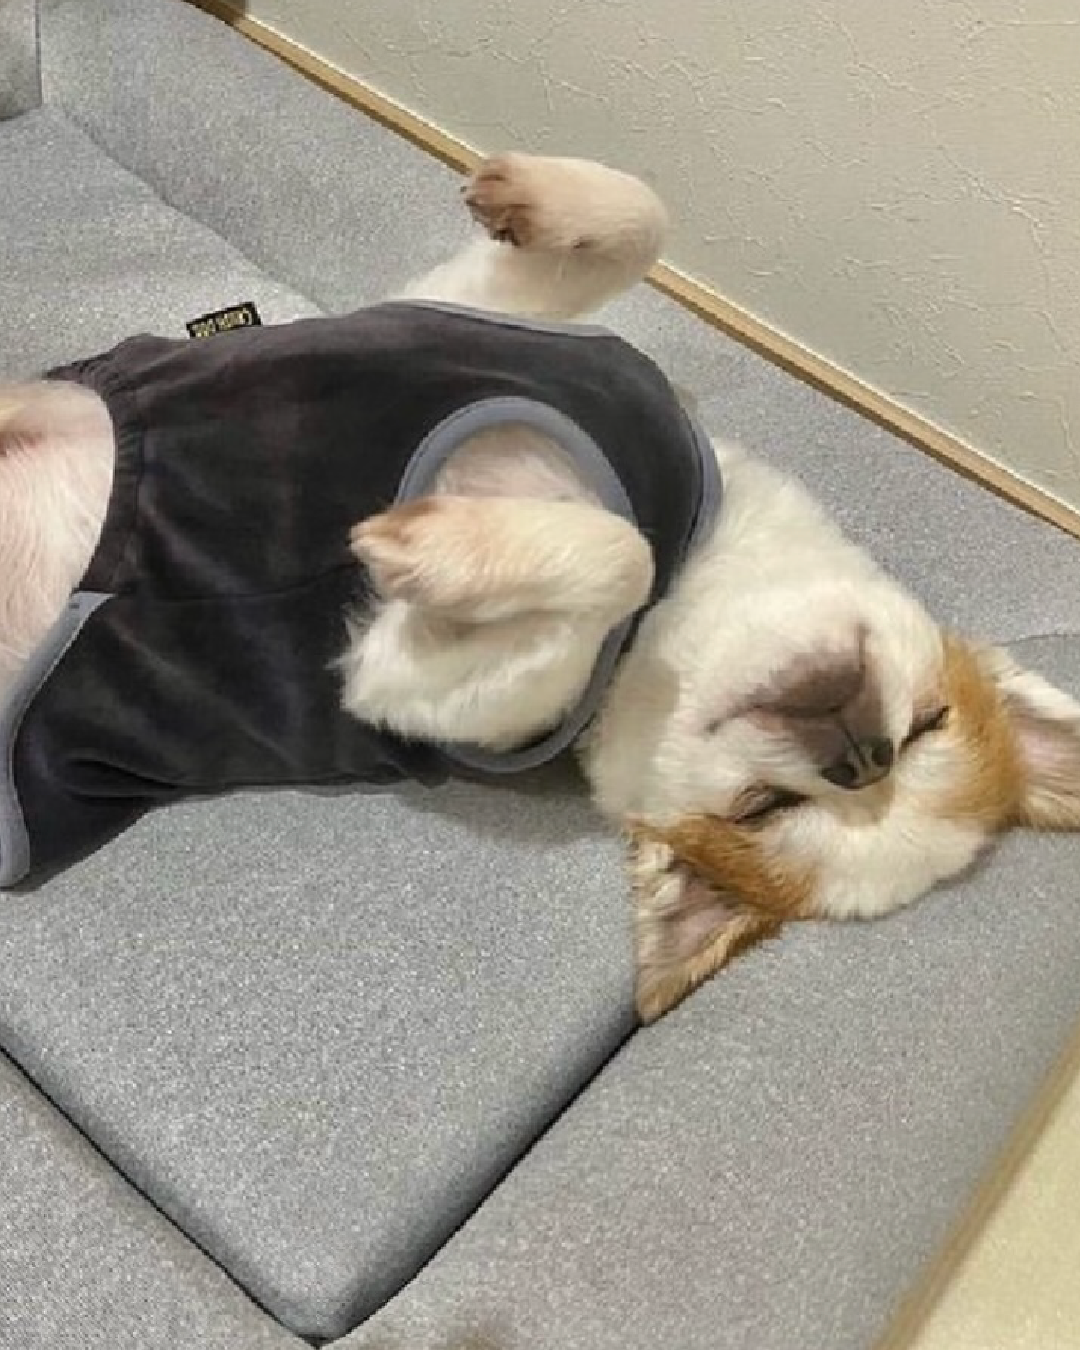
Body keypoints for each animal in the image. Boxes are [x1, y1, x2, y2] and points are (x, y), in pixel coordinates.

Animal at [2, 155, 1080, 1020]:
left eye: (760, 811)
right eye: (932, 723)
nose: (862, 758)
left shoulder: (396, 678)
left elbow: (617, 557)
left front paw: (438, 546)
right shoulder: (462, 312)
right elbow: (642, 219)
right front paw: (531, 192)